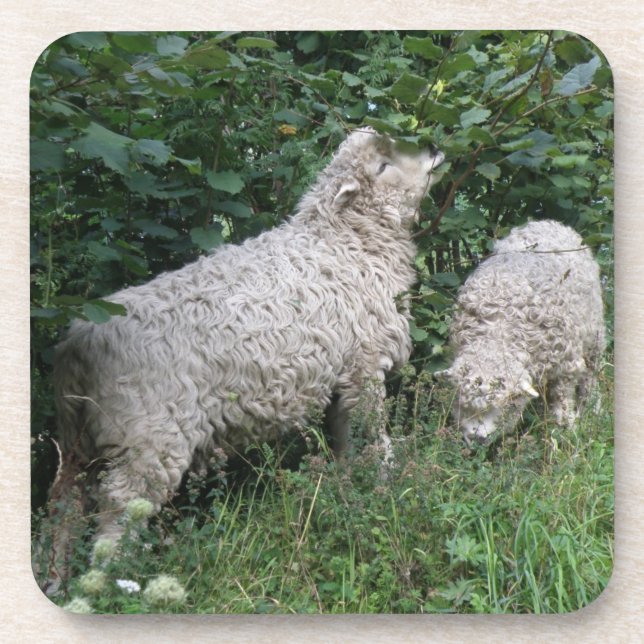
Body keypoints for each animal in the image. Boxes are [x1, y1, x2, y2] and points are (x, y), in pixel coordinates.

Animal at [48, 127, 445, 567]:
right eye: (383, 166)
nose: (432, 148)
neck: (345, 241)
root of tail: (78, 342)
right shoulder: (364, 366)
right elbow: (371, 433)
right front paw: (385, 481)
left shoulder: (343, 373)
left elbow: (344, 437)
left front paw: (346, 482)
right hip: (147, 438)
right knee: (119, 508)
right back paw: (113, 574)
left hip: (79, 442)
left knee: (64, 506)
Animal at [439, 220, 605, 446]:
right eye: (463, 402)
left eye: (500, 405)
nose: (476, 438)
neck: (498, 332)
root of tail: (546, 222)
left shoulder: (566, 367)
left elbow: (562, 403)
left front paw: (566, 432)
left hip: (595, 338)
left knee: (590, 378)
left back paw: (591, 410)